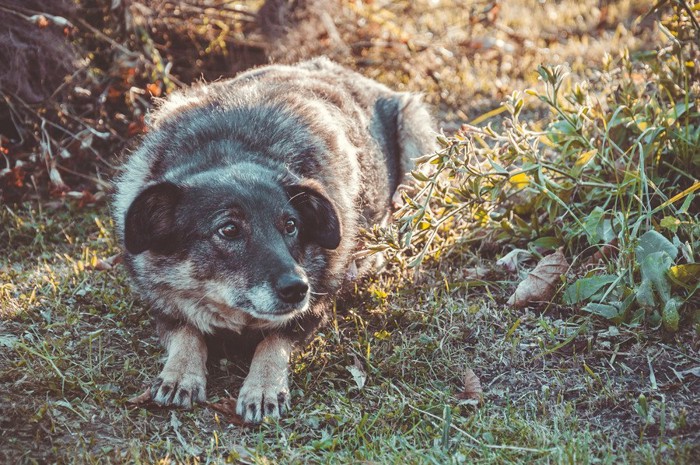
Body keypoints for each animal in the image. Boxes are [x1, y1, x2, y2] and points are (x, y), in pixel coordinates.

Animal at [112, 56, 434, 422]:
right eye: (229, 229)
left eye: (291, 226)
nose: (297, 289)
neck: (229, 150)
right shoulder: (160, 302)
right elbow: (187, 332)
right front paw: (180, 371)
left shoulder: (313, 308)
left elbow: (273, 341)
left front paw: (263, 386)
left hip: (417, 143)